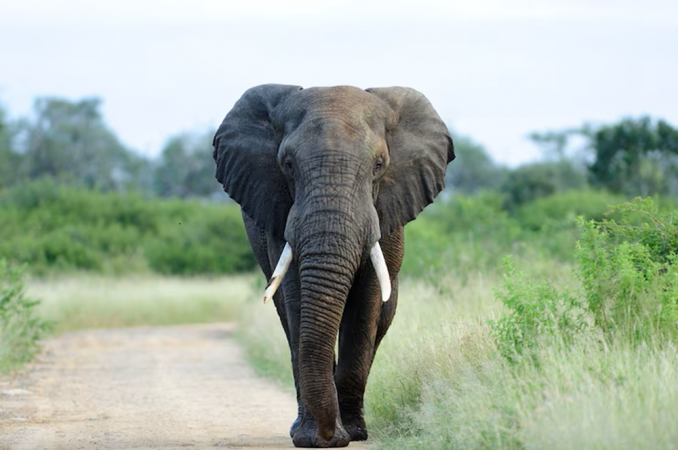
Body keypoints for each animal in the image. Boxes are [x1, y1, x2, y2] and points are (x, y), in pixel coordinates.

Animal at [213, 84, 454, 447]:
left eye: (379, 165)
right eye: (287, 165)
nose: (329, 436)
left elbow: (366, 303)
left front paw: (352, 434)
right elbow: (296, 295)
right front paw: (314, 439)